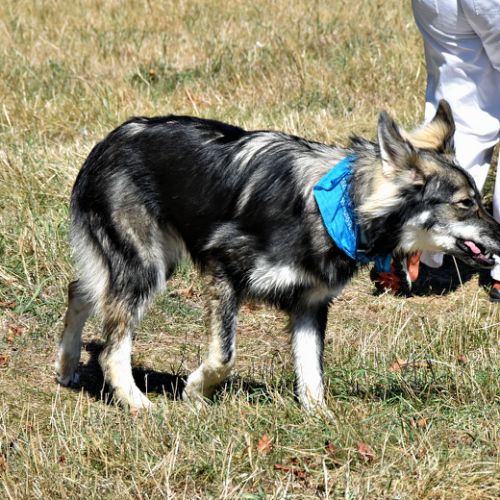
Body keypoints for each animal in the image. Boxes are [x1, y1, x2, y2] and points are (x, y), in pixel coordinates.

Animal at [55, 100, 500, 413]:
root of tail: (106, 142)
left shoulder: (311, 303)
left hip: (149, 260)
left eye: (480, 201)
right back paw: (135, 402)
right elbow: (224, 355)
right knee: (112, 345)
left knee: (79, 289)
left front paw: (321, 419)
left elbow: (311, 371)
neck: (339, 207)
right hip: (145, 265)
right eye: (466, 203)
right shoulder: (225, 273)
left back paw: (66, 365)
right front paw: (195, 392)